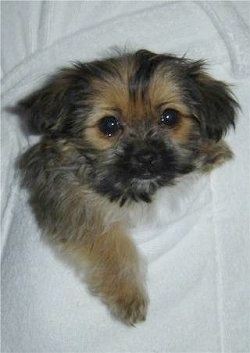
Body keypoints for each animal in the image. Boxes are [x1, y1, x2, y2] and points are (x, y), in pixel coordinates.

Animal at [18, 49, 238, 324]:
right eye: (108, 125)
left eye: (170, 117)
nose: (146, 156)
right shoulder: (71, 204)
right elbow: (111, 244)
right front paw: (128, 293)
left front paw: (209, 150)